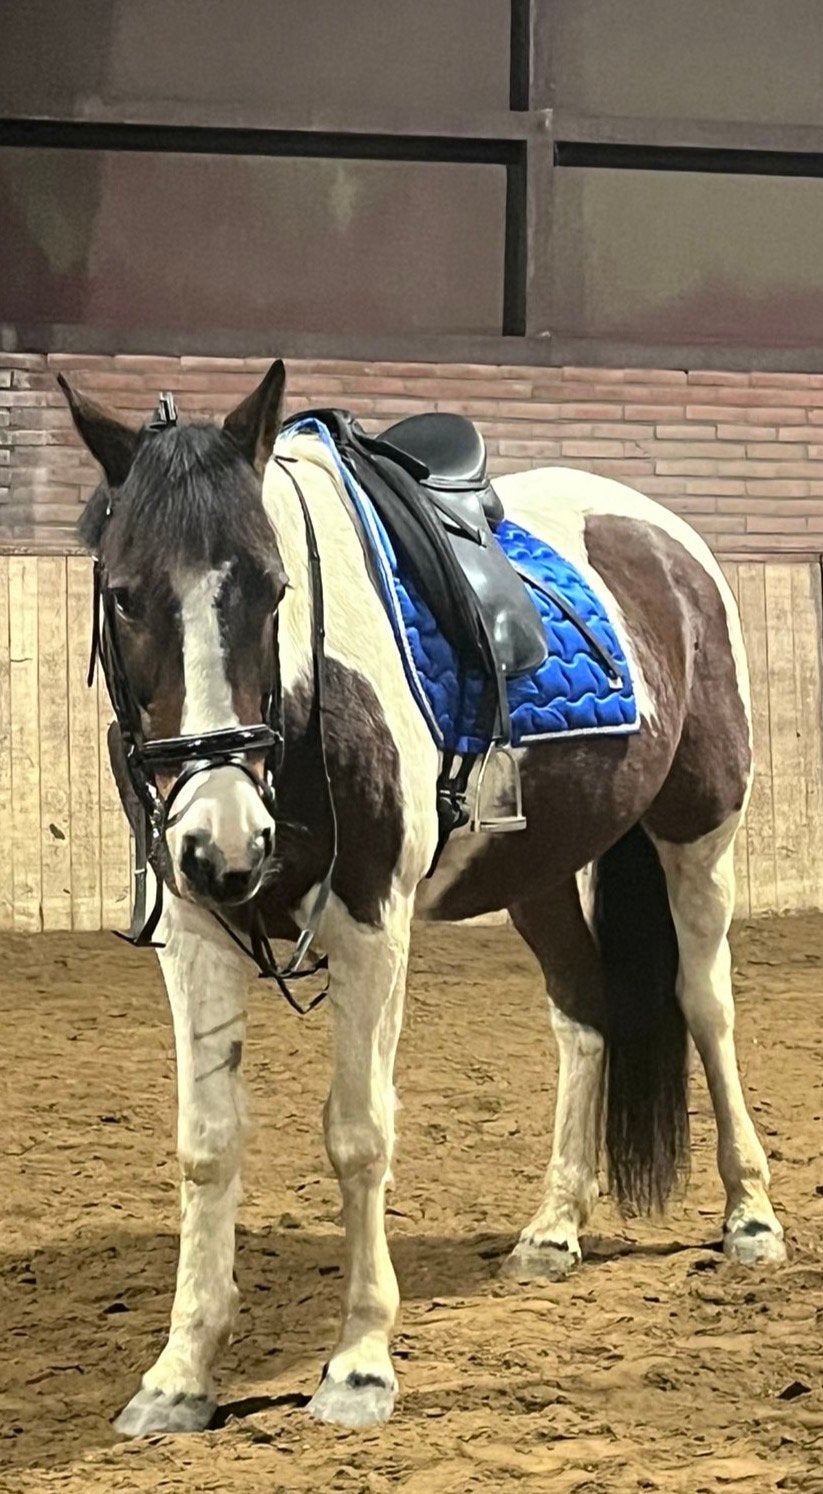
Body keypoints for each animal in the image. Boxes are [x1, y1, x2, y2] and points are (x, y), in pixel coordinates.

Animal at [58, 359, 785, 1436]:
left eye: (274, 588)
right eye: (123, 594)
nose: (227, 839)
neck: (302, 700)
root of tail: (668, 539)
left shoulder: (370, 923)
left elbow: (359, 1135)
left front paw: (359, 1365)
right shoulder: (195, 929)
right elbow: (207, 1146)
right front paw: (178, 1378)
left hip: (697, 835)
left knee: (706, 1007)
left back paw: (749, 1217)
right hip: (537, 872)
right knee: (585, 1013)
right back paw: (553, 1230)